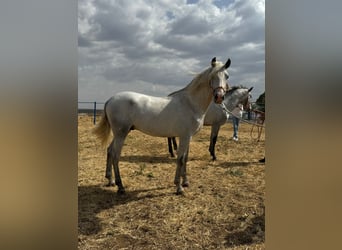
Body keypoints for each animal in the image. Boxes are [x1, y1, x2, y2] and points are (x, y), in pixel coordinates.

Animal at [93, 57, 231, 195]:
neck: (190, 103)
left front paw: (185, 182)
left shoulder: (189, 137)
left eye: (227, 76)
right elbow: (180, 159)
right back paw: (120, 186)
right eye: (212, 76)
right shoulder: (184, 136)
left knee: (110, 151)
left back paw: (110, 180)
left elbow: (185, 158)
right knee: (115, 155)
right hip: (121, 134)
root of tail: (110, 99)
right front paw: (179, 187)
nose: (219, 97)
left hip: (119, 134)